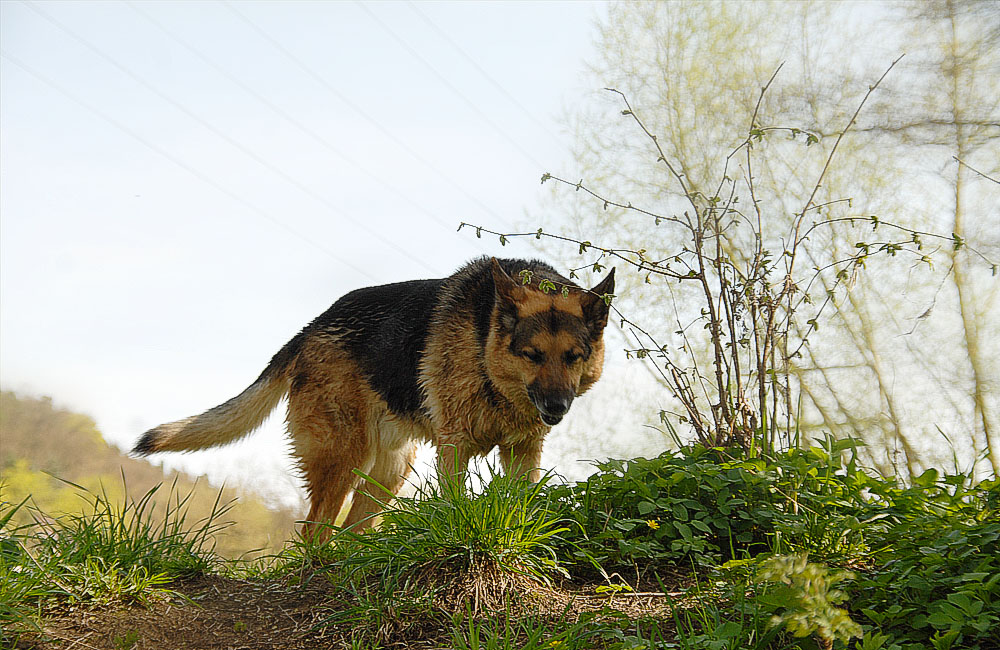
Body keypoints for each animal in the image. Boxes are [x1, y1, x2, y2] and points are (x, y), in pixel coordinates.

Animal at [134, 256, 612, 536]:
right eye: (533, 355)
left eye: (574, 356)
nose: (556, 407)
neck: (487, 357)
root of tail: (309, 328)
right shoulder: (455, 447)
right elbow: (454, 502)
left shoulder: (524, 451)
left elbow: (522, 505)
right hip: (345, 457)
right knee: (316, 530)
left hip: (390, 471)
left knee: (351, 530)